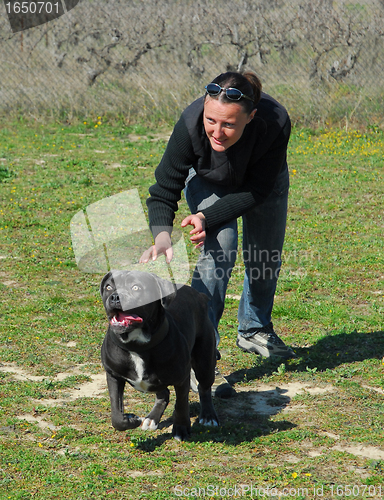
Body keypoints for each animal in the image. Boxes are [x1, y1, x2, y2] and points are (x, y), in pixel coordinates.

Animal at [100, 272, 219, 440]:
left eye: (136, 287)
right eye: (108, 287)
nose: (115, 297)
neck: (136, 345)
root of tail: (199, 295)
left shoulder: (182, 379)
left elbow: (181, 405)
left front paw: (181, 429)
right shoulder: (113, 375)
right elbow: (116, 413)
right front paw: (130, 419)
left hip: (205, 361)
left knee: (204, 387)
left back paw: (208, 416)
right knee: (164, 393)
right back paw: (152, 418)